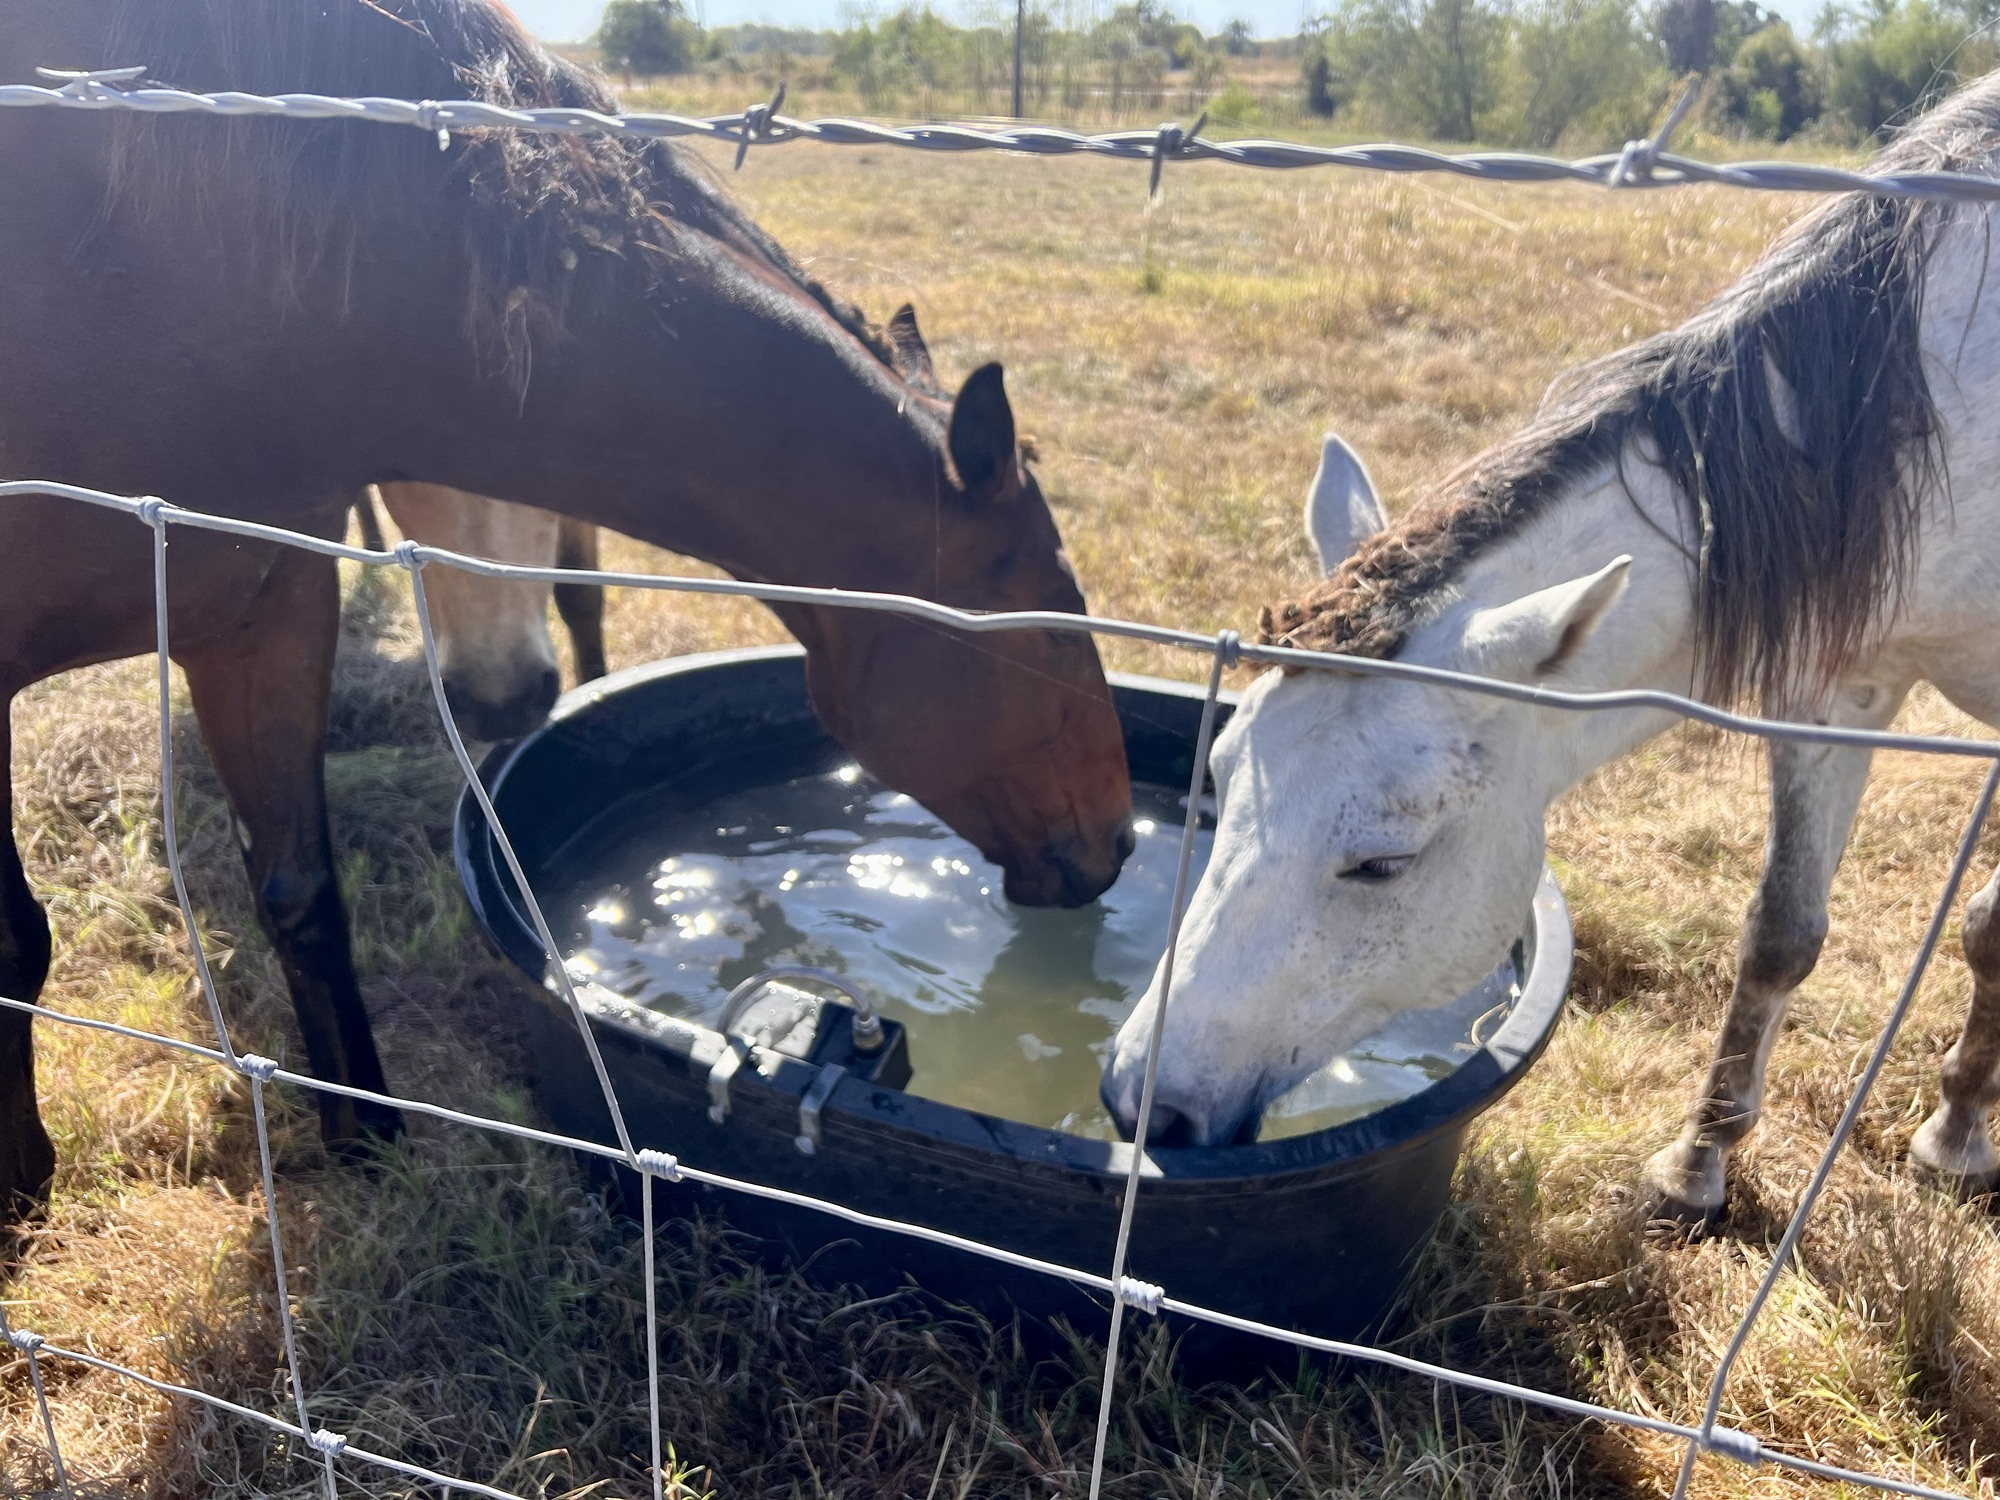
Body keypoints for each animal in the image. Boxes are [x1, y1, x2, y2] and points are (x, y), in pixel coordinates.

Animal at [1102, 72, 2000, 1220]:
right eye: (1215, 777)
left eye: (1381, 865)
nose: (1142, 1102)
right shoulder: (1842, 685)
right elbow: (1779, 933)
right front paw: (1696, 1165)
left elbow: (1985, 927)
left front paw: (1956, 1133)